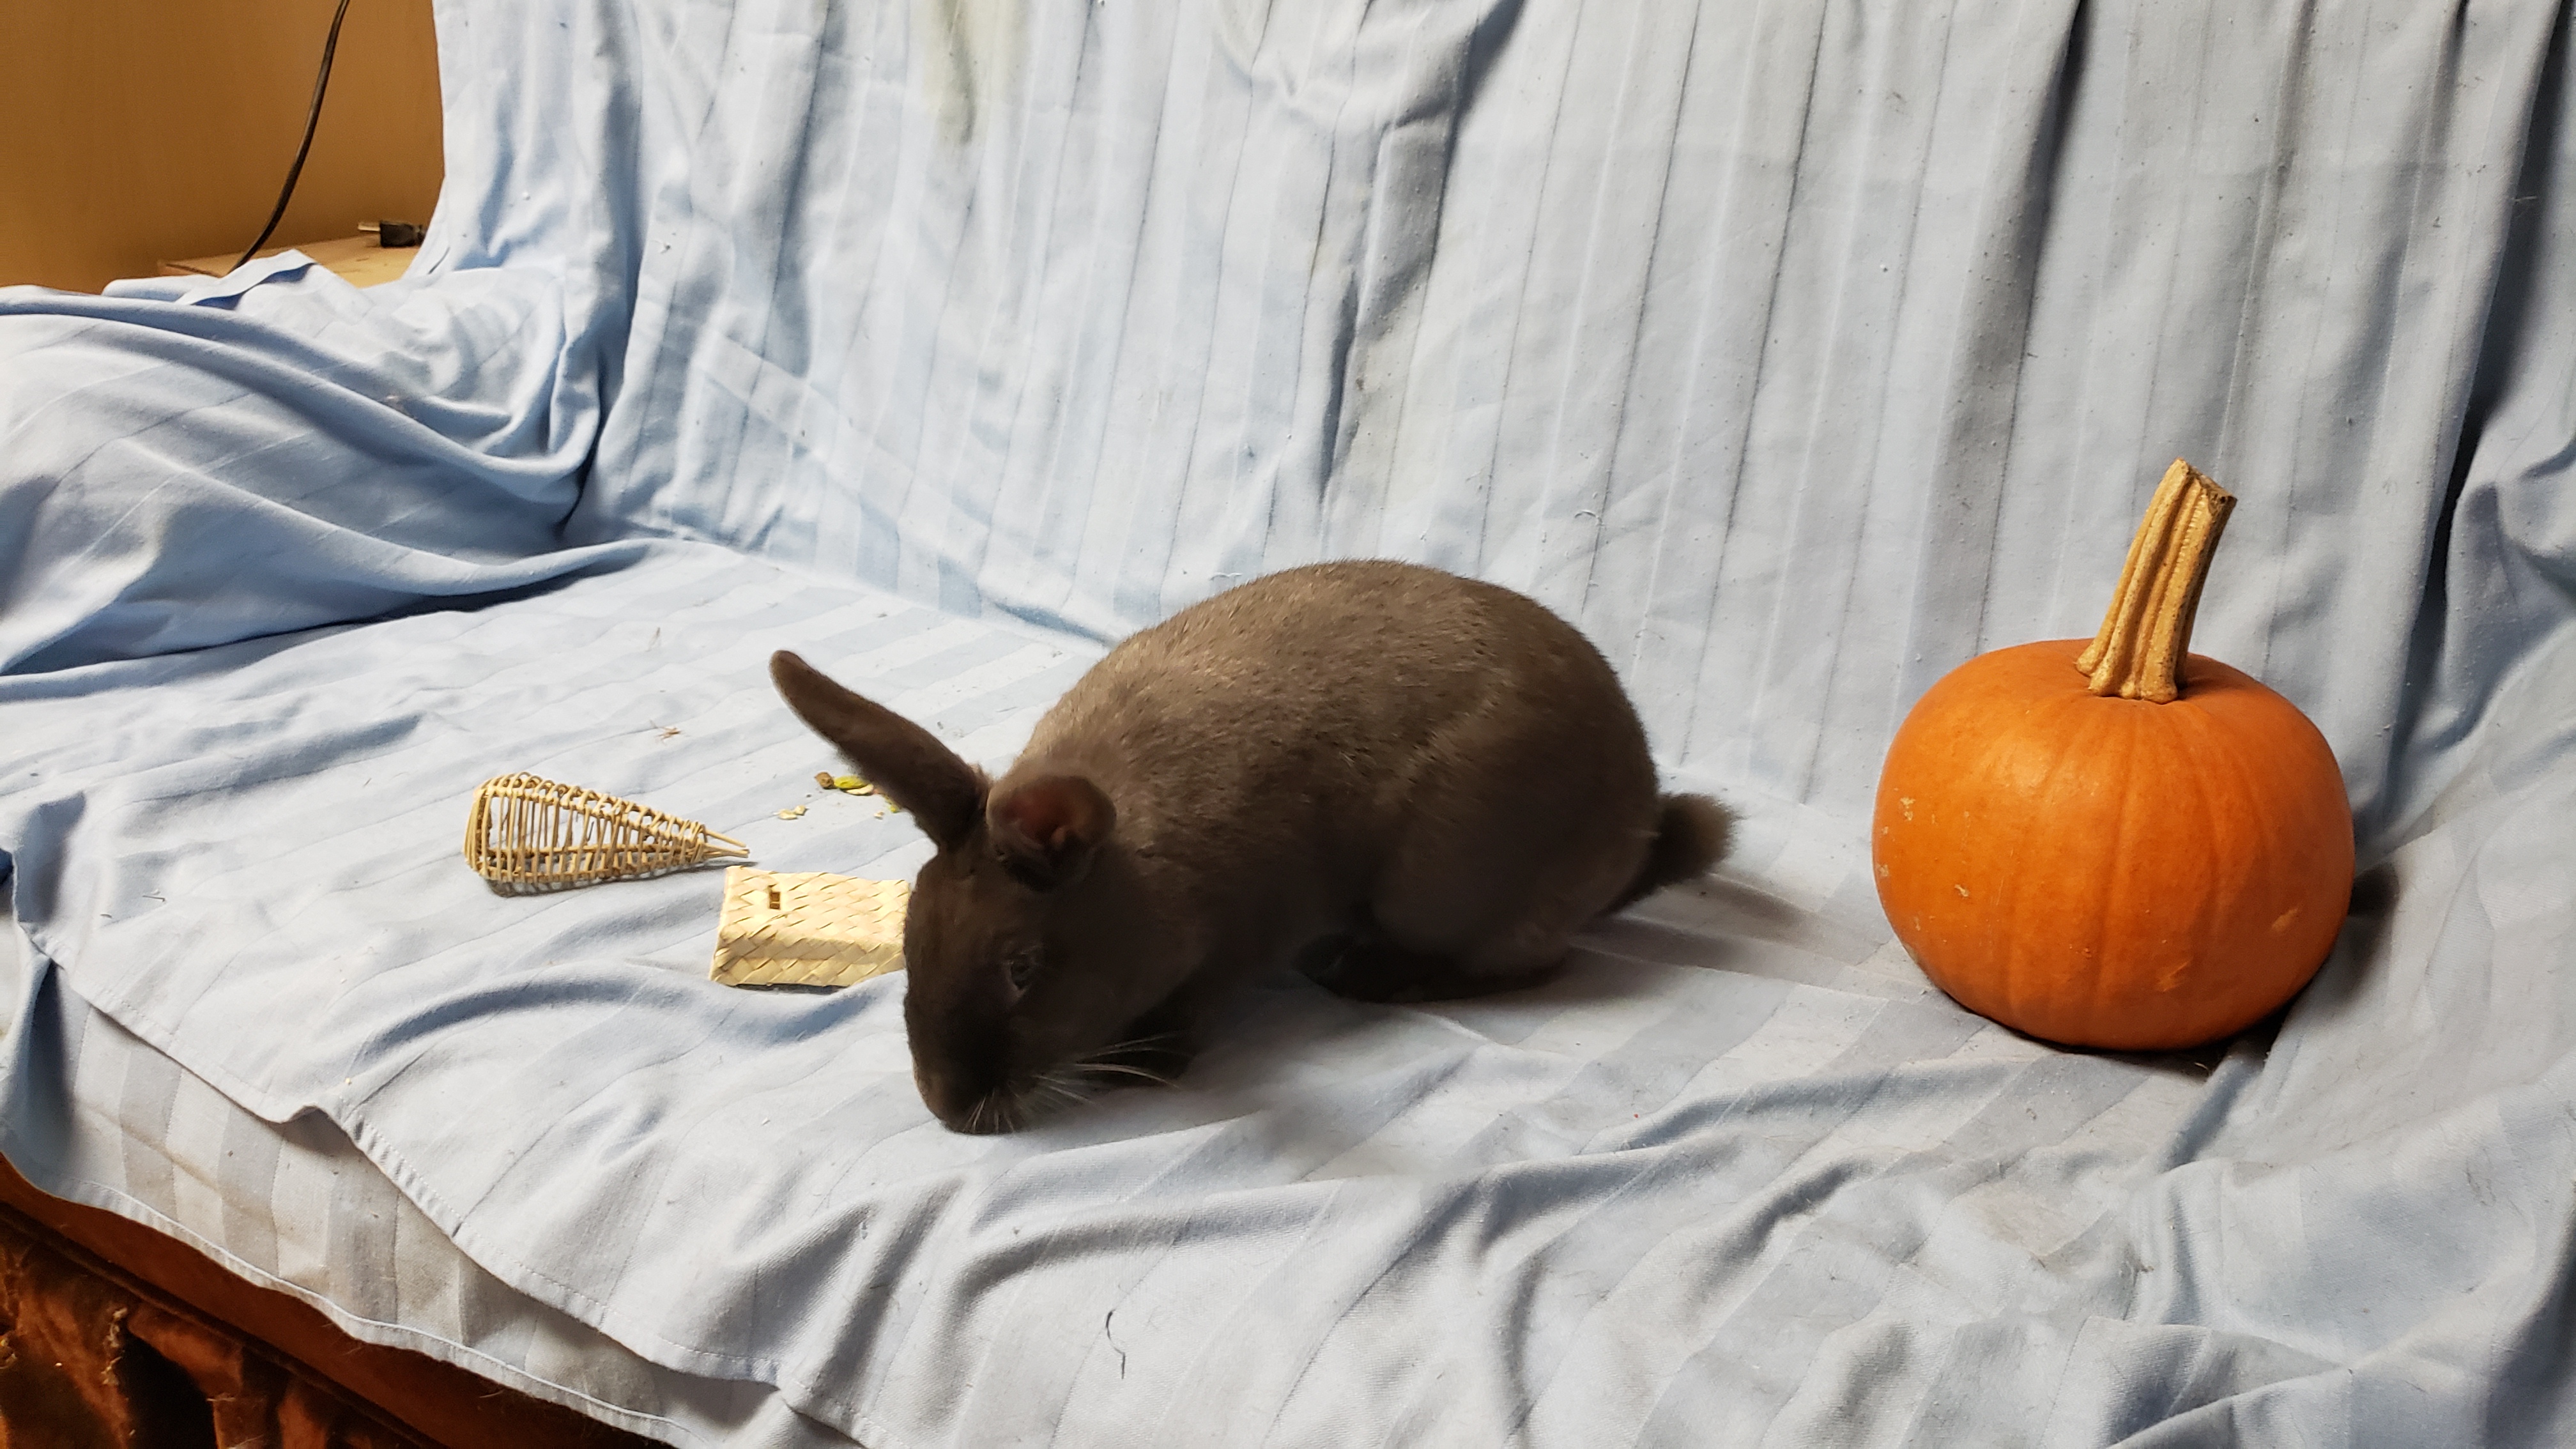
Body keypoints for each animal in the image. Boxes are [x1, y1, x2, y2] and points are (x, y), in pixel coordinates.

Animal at [771, 560, 1731, 1134]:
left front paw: (1142, 1068)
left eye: (1021, 969)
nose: (949, 1107)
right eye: (910, 939)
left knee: (1528, 963)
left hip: (1441, 889)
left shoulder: (1240, 940)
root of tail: (1639, 829)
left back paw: (1372, 975)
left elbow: (1198, 1001)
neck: (1138, 877)